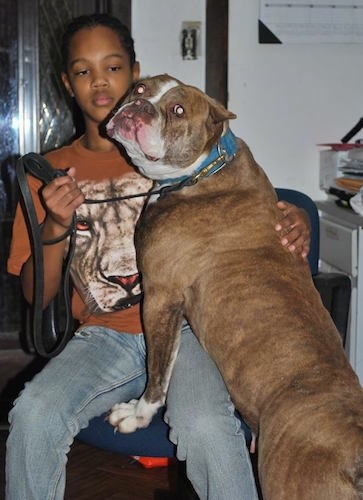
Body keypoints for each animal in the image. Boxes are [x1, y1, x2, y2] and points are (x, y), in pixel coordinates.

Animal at [104, 75, 362, 500]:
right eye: (140, 89)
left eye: (177, 110)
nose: (139, 107)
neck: (207, 168)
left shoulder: (160, 297)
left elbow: (157, 371)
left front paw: (138, 414)